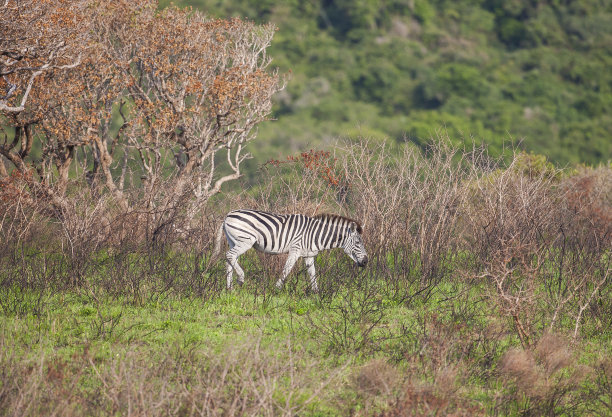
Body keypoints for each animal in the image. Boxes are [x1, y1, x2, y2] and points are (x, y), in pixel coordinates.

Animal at [215, 208, 368, 292]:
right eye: (358, 242)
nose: (366, 261)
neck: (315, 234)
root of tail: (227, 215)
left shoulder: (308, 255)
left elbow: (312, 274)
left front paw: (317, 294)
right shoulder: (295, 250)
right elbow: (286, 270)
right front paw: (276, 289)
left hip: (233, 241)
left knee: (229, 259)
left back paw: (229, 288)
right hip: (245, 241)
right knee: (230, 255)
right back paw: (241, 279)